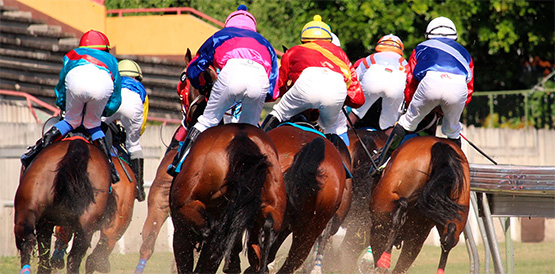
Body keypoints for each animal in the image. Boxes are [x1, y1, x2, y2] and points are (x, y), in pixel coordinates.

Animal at [170, 123, 286, 272]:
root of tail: (241, 135)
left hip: (187, 207)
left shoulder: (181, 229)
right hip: (274, 206)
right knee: (269, 228)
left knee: (212, 233)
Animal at [372, 136, 472, 272]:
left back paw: (384, 262)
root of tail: (439, 145)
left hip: (382, 211)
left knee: (397, 217)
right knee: (449, 237)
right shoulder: (416, 235)